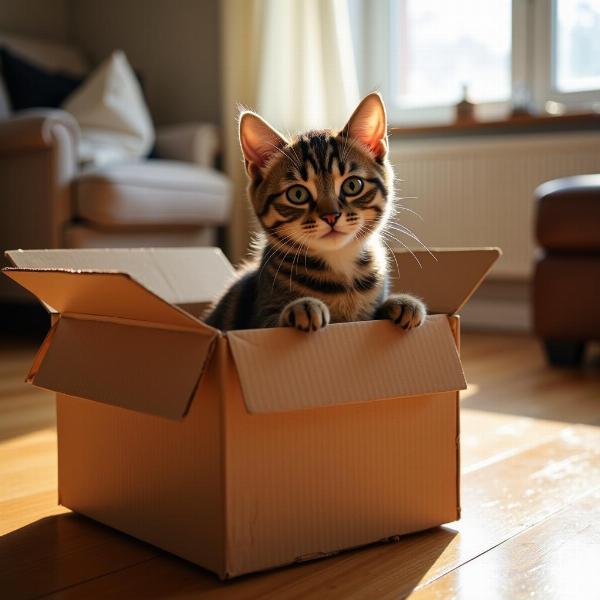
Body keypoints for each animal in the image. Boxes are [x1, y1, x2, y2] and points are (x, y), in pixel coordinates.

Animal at [206, 92, 426, 332]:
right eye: (297, 194)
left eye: (352, 185)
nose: (331, 216)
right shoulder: (258, 320)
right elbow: (273, 321)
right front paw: (301, 307)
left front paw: (402, 302)